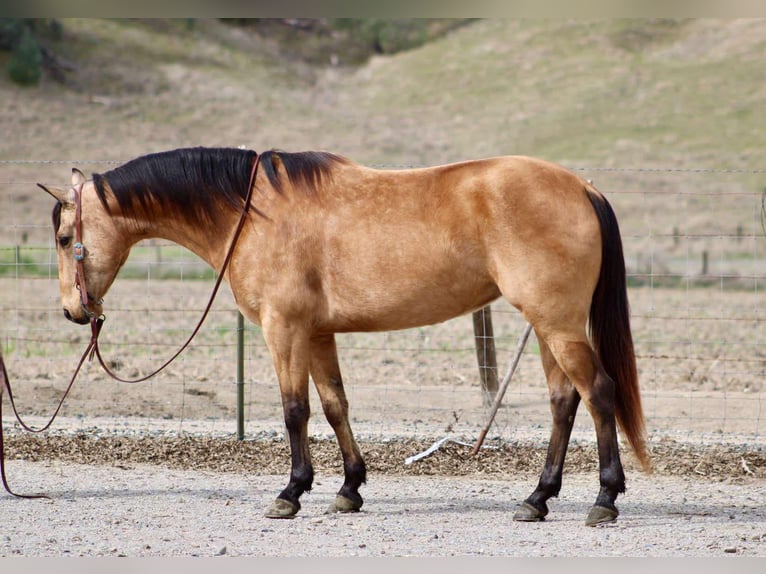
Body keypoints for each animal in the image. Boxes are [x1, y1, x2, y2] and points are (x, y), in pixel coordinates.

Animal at [39, 147, 652, 528]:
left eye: (66, 237)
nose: (73, 311)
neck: (253, 213)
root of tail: (582, 187)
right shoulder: (318, 334)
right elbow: (335, 406)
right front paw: (349, 489)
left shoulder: (284, 329)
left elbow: (295, 410)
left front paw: (290, 493)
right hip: (548, 326)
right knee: (564, 401)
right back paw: (537, 499)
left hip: (558, 324)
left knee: (598, 393)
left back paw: (604, 498)